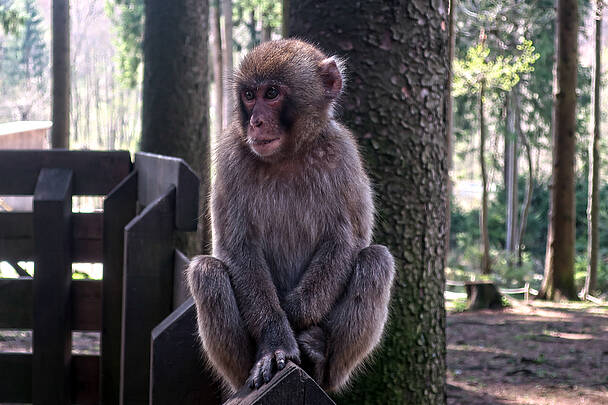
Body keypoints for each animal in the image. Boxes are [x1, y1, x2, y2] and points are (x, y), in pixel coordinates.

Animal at [186, 39, 394, 392]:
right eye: (249, 95)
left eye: (271, 93)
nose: (255, 122)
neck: (288, 155)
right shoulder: (231, 153)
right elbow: (237, 246)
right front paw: (276, 339)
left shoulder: (342, 153)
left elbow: (347, 241)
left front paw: (294, 321)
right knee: (207, 272)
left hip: (339, 372)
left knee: (376, 260)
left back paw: (319, 357)